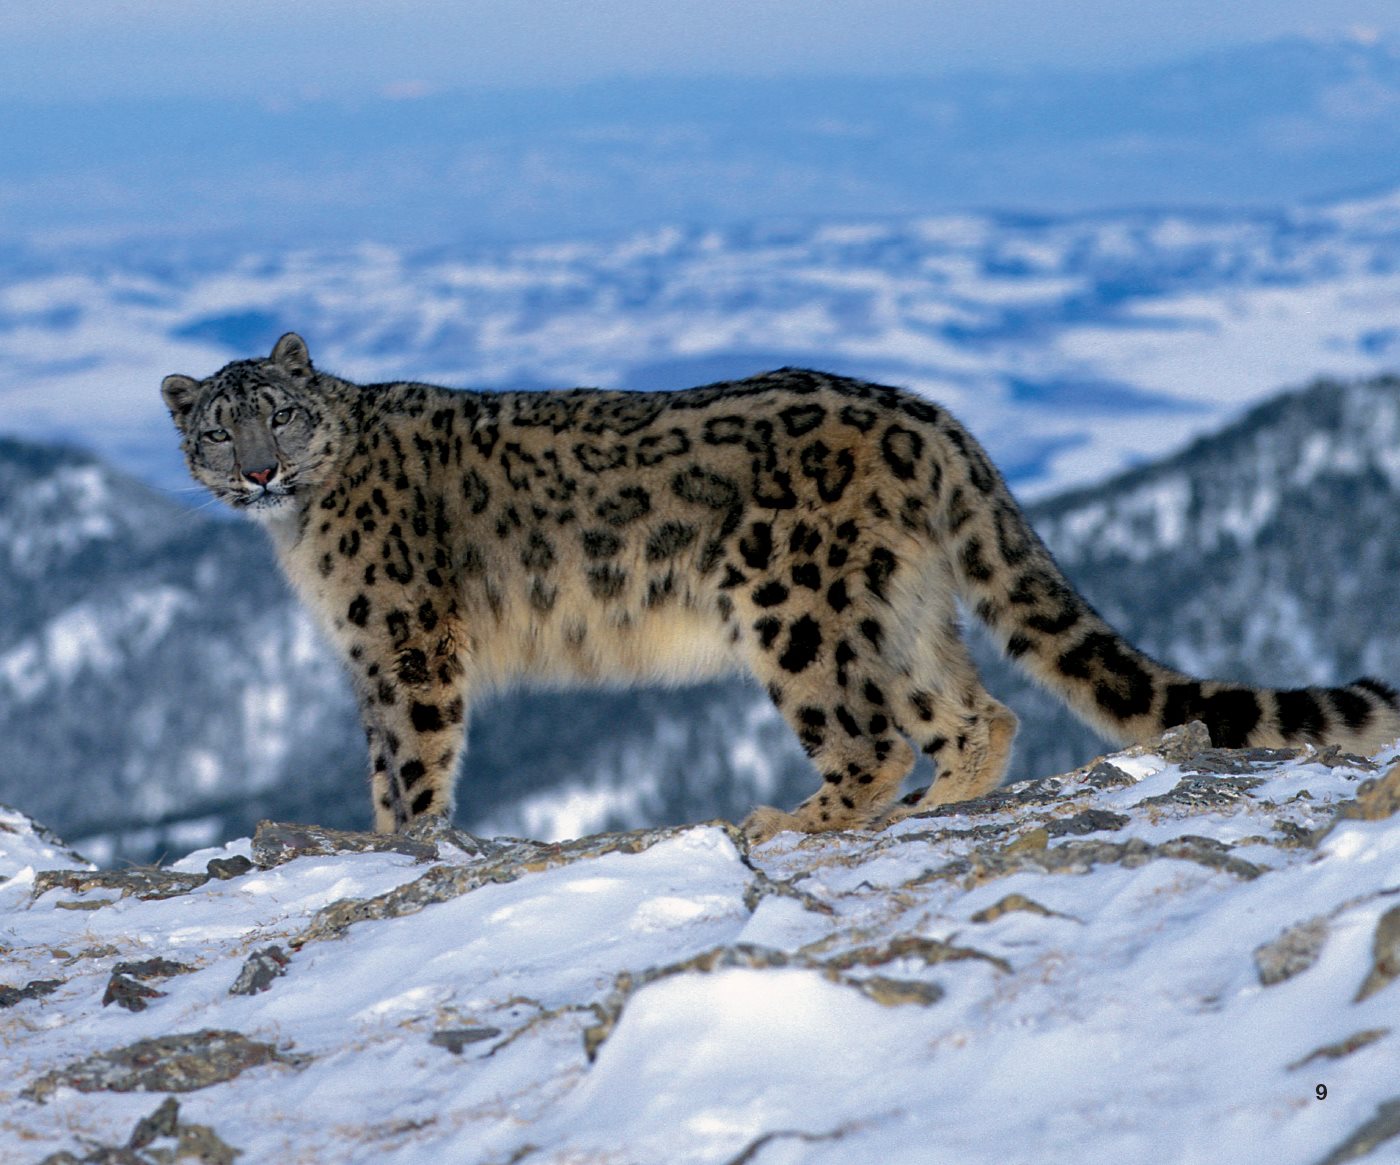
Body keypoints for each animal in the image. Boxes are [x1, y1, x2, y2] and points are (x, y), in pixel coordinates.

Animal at [161, 331, 1400, 840]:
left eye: (279, 411)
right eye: (219, 430)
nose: (258, 469)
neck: (300, 535)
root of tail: (927, 416)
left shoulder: (405, 638)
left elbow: (412, 762)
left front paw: (398, 844)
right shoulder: (367, 654)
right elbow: (384, 759)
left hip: (790, 604)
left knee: (869, 733)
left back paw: (796, 818)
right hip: (898, 606)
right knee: (973, 711)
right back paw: (935, 807)